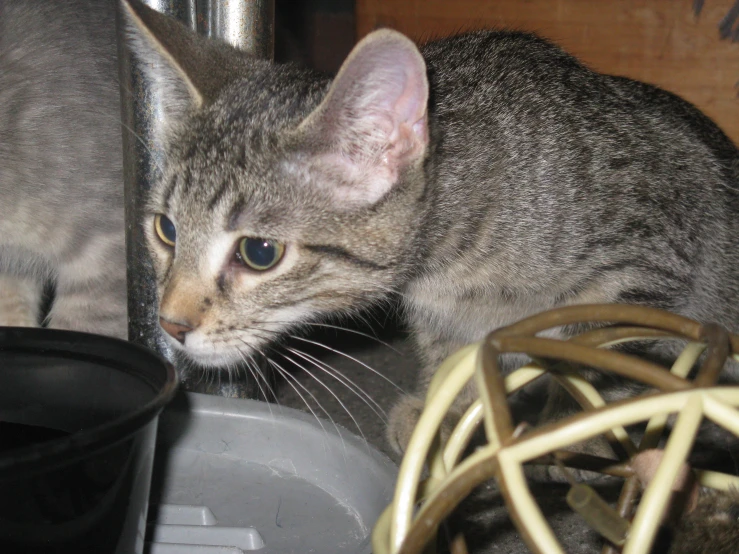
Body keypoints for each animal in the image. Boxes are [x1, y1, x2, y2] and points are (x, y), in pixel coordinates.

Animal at [1, 0, 739, 458]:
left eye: (259, 253)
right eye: (165, 229)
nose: (170, 324)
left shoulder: (649, 250)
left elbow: (598, 346)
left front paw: (560, 427)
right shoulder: (443, 315)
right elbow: (460, 357)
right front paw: (447, 411)